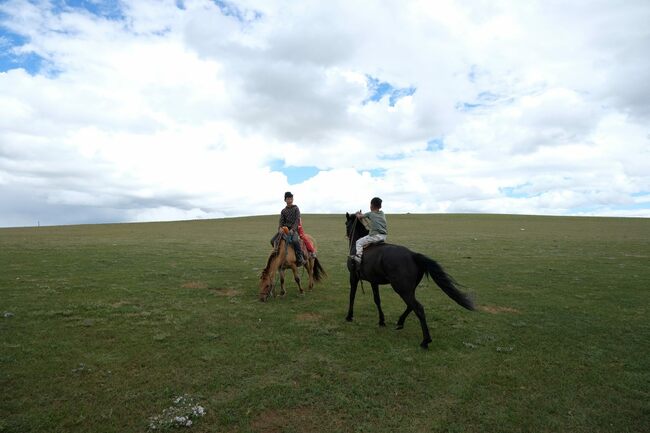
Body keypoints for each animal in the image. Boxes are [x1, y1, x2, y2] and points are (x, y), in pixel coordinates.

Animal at [342, 213, 474, 348]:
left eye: (346, 223)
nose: (347, 235)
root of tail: (413, 255)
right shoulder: (374, 281)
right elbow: (377, 300)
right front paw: (381, 321)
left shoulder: (353, 277)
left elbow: (352, 296)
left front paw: (349, 316)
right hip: (408, 289)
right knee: (411, 305)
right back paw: (400, 323)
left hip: (401, 289)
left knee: (418, 308)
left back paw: (425, 341)